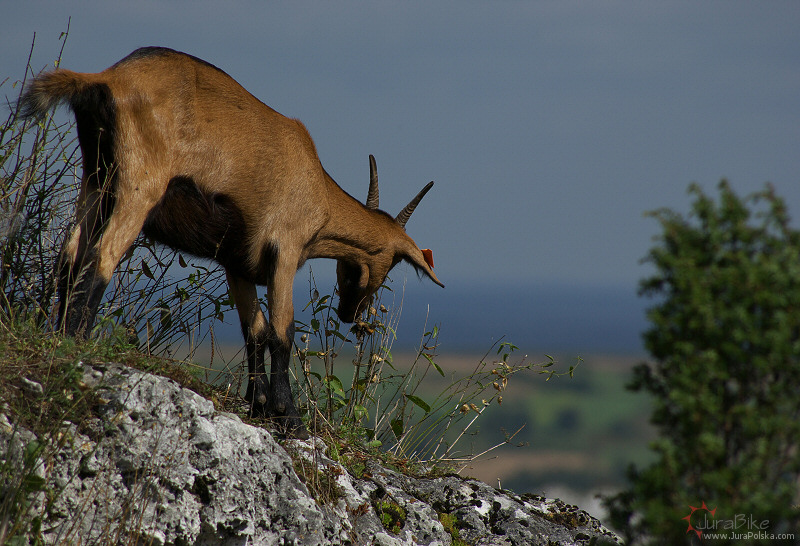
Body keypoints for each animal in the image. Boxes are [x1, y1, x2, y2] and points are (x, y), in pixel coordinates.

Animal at [20, 47, 444, 438]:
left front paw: (258, 405)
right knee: (100, 258)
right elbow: (281, 331)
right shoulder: (284, 251)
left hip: (96, 183)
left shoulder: (239, 263)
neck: (318, 190)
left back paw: (53, 334)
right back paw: (76, 344)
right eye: (392, 261)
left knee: (68, 257)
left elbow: (254, 331)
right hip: (137, 188)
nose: (351, 313)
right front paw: (288, 416)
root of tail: (107, 79)